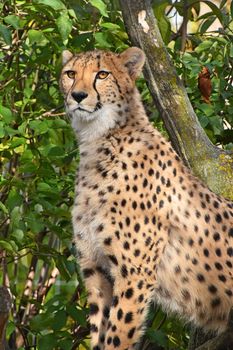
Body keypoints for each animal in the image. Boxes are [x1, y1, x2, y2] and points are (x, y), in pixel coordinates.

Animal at [60, 47, 233, 350]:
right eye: (70, 73)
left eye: (102, 74)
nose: (78, 95)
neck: (98, 141)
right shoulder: (96, 271)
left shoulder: (134, 274)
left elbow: (117, 334)